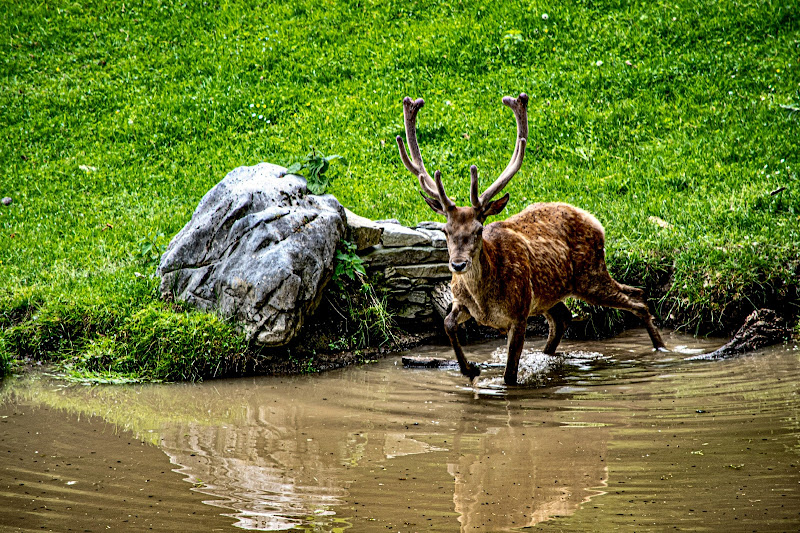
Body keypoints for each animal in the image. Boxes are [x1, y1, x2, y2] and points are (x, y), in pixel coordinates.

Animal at [396, 93, 668, 384]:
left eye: (479, 229)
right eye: (445, 230)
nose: (458, 264)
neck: (484, 302)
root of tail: (595, 221)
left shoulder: (519, 312)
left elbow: (509, 375)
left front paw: (485, 374)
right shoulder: (463, 303)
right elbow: (447, 324)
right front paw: (470, 369)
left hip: (590, 274)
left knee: (637, 298)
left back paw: (661, 349)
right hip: (555, 291)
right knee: (565, 317)